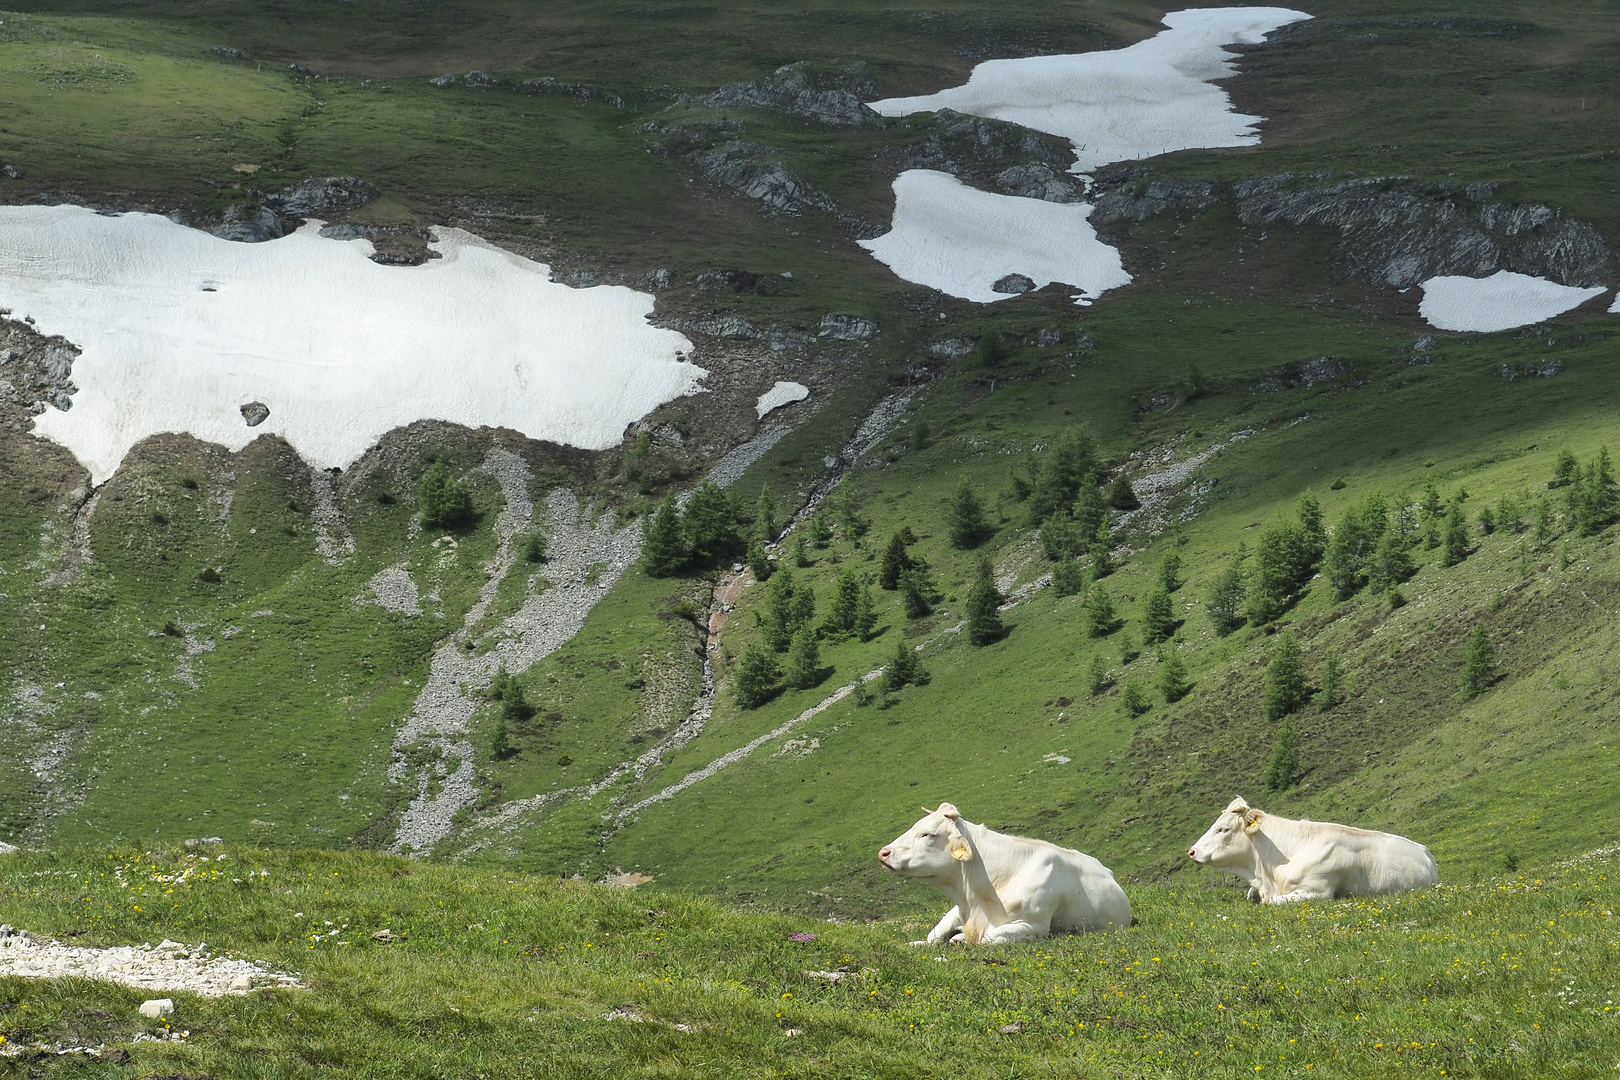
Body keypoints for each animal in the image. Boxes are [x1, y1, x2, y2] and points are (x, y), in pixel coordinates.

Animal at [881, 803, 1134, 945]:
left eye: (927, 834)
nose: (884, 852)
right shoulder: (959, 909)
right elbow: (932, 936)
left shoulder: (1034, 925)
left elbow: (988, 938)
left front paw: (961, 939)